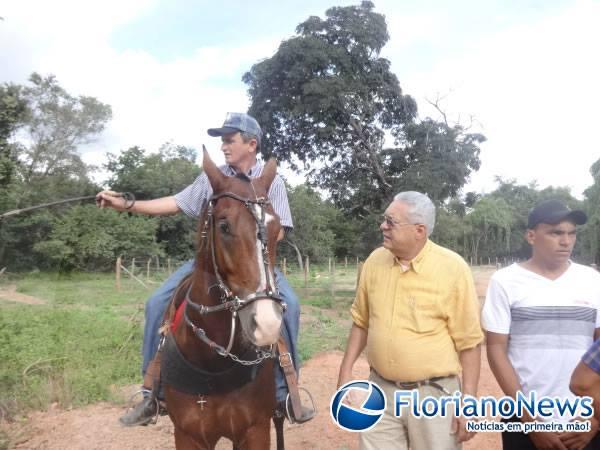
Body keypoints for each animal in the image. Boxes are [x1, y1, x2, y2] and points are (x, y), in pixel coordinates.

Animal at [162, 149, 286, 448]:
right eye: (224, 226)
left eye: (276, 228)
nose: (266, 324)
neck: (211, 363)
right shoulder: (188, 435)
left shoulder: (255, 430)